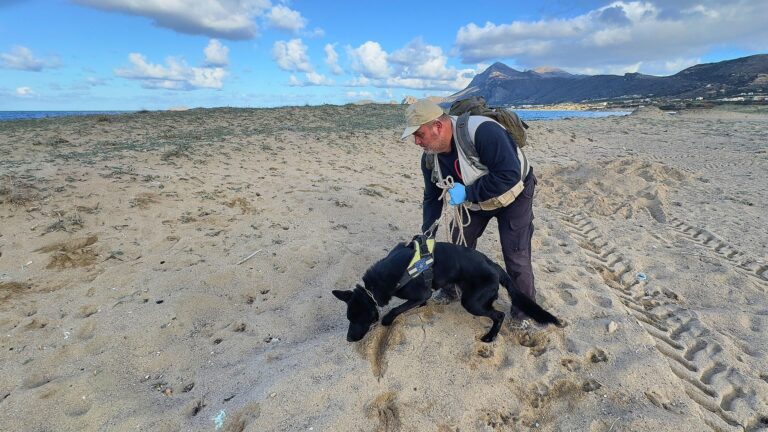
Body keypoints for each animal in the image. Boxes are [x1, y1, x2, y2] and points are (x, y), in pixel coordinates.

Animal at [332, 241, 560, 342]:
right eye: (349, 318)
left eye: (358, 318)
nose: (349, 339)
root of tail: (495, 266)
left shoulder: (419, 293)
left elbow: (396, 309)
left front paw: (387, 320)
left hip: (472, 302)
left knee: (499, 315)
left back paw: (490, 337)